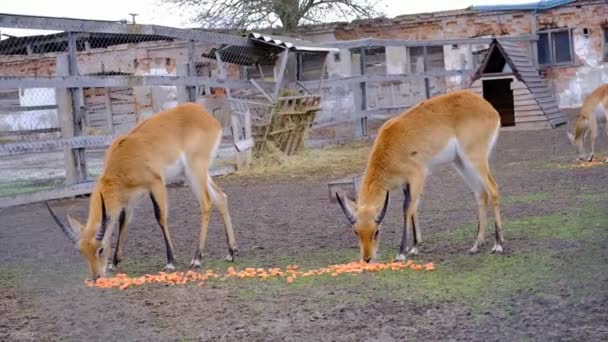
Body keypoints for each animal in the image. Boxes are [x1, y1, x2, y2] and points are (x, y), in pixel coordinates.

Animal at [44, 102, 235, 280]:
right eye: (81, 251)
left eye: (100, 249)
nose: (96, 276)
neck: (123, 162)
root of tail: (208, 117)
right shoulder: (129, 198)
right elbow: (123, 221)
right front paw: (114, 263)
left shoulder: (156, 184)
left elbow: (160, 216)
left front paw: (170, 262)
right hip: (195, 173)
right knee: (221, 197)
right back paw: (231, 252)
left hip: (194, 170)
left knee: (206, 202)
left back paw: (196, 259)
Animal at [338, 90, 504, 262]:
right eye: (356, 232)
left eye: (376, 231)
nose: (367, 258)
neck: (390, 149)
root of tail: (488, 107)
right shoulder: (406, 183)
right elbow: (413, 208)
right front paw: (415, 247)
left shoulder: (417, 176)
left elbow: (407, 208)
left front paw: (401, 253)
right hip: (461, 163)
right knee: (480, 193)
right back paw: (476, 245)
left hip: (475, 158)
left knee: (493, 188)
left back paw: (498, 245)